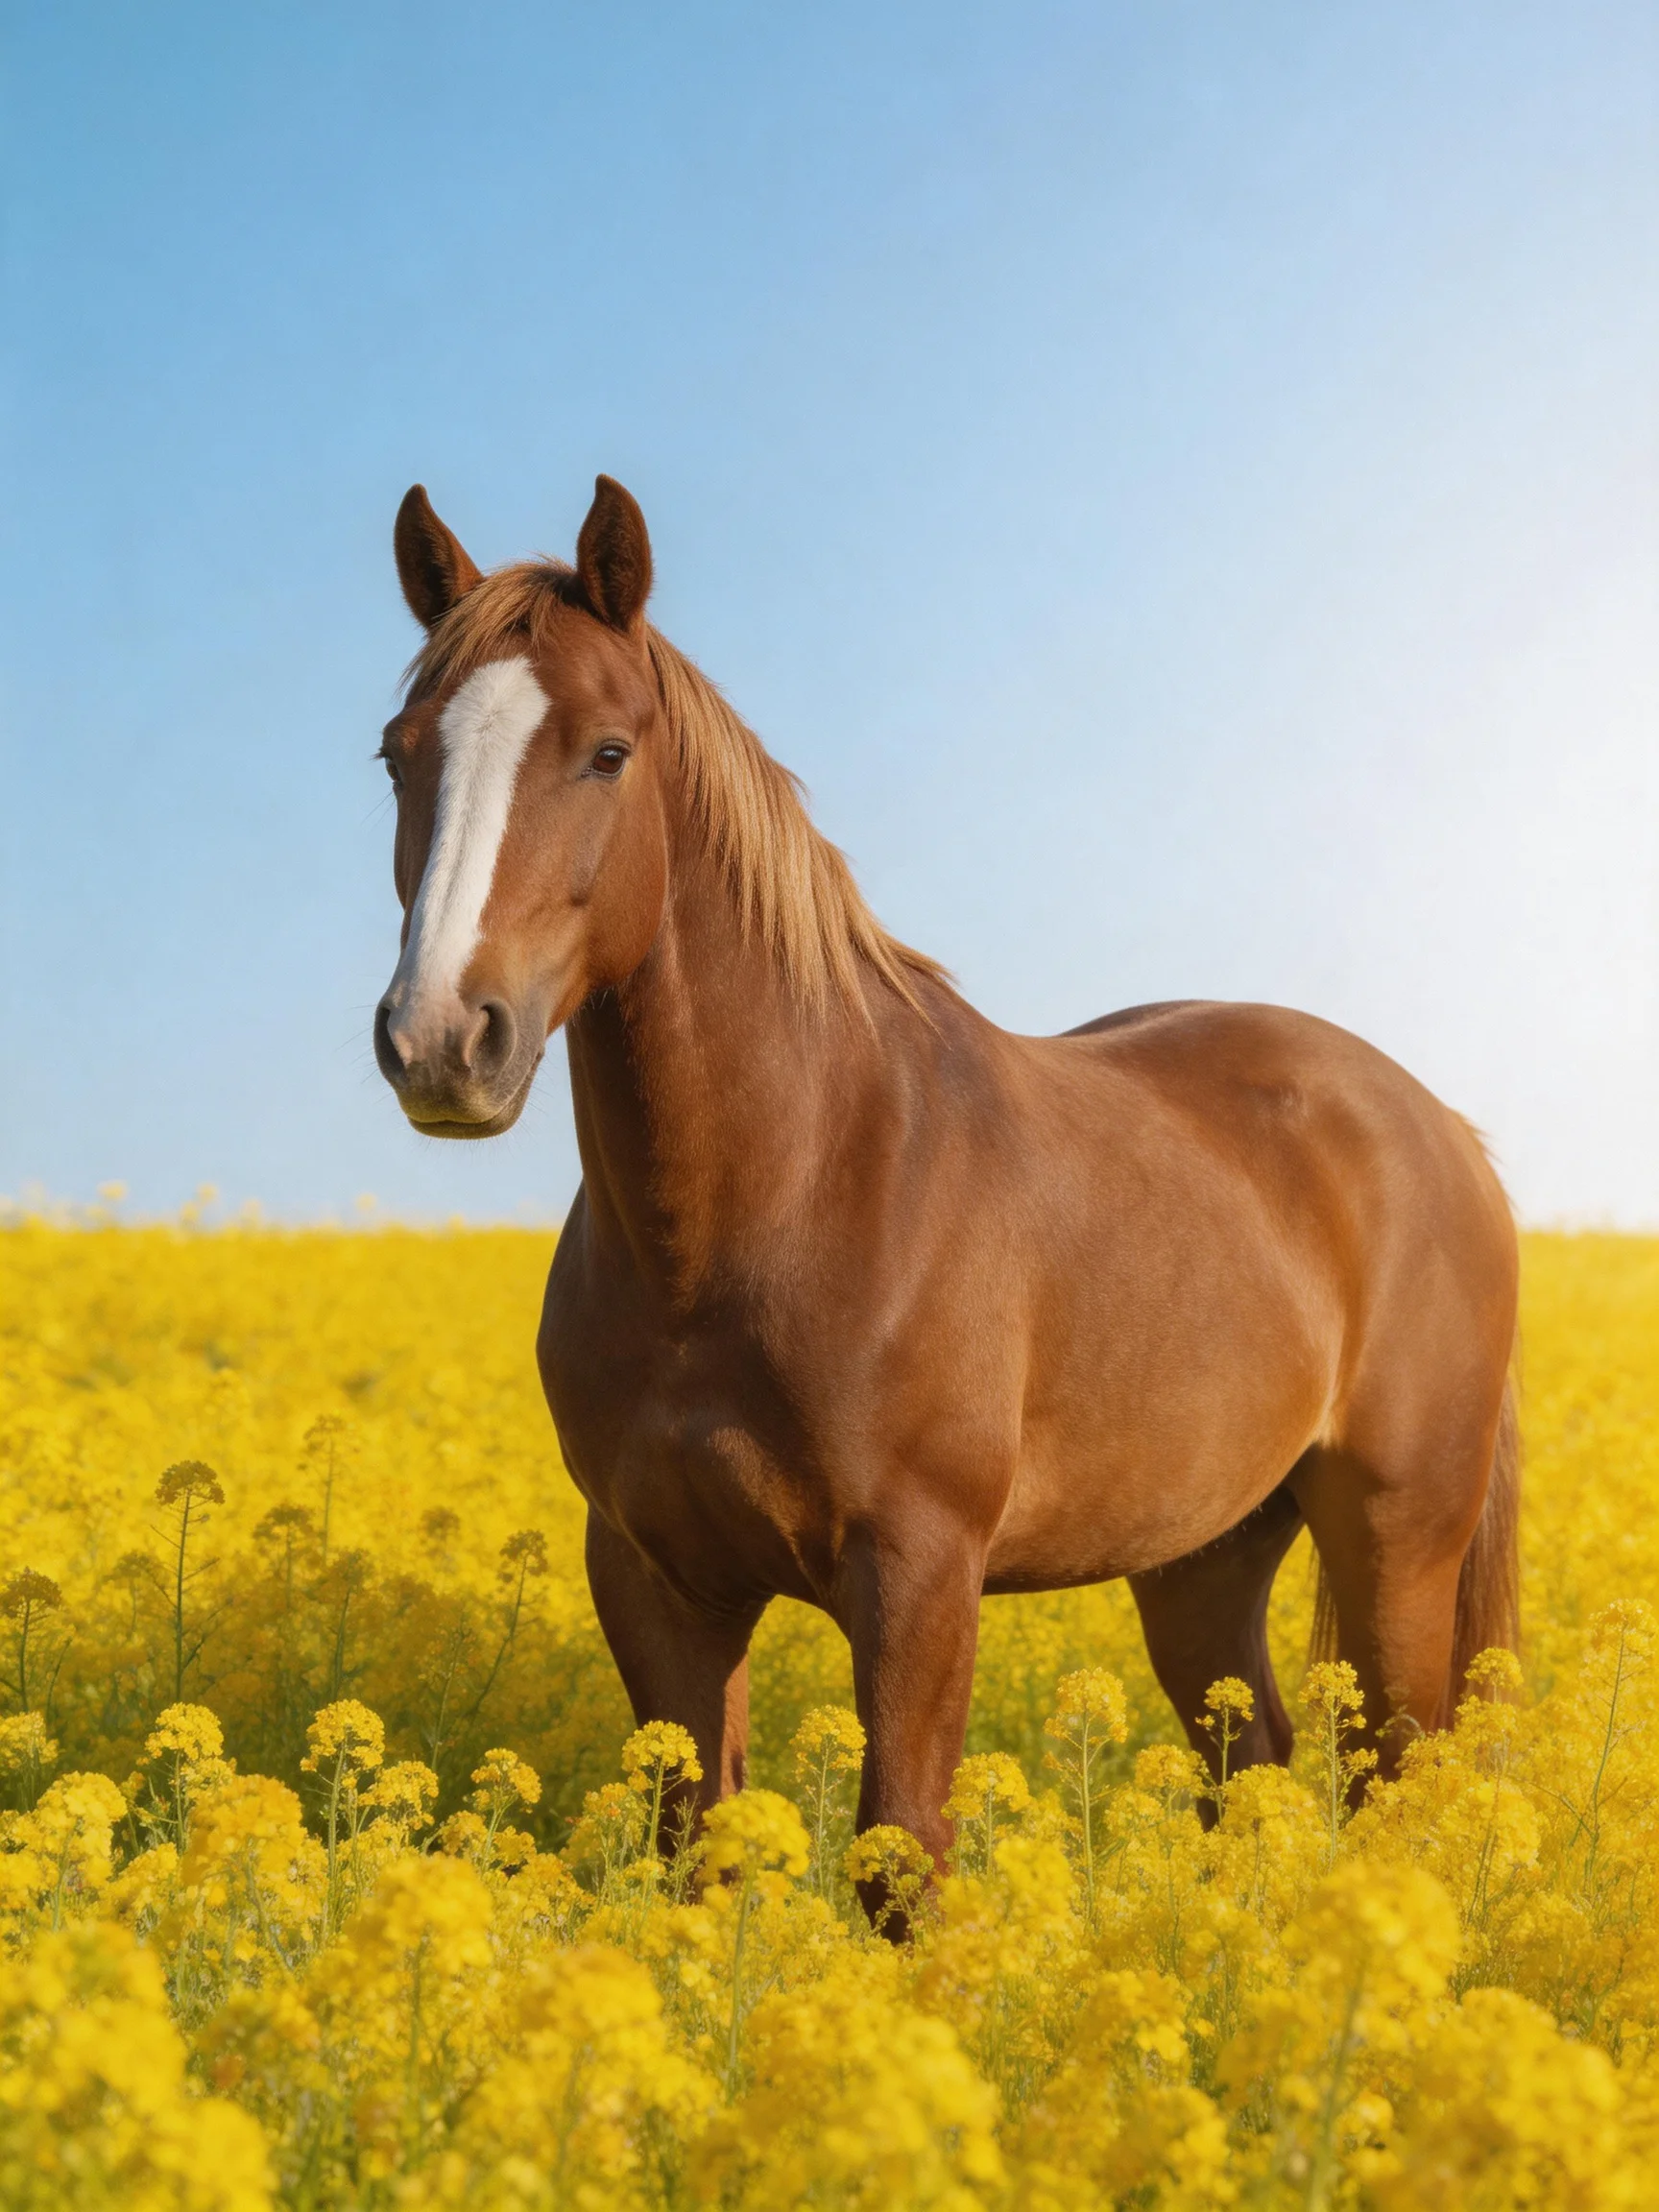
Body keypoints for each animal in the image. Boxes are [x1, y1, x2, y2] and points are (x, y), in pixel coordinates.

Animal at [373, 473, 1520, 1896]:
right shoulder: (655, 1581)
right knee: (1250, 1761)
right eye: (398, 755)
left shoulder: (920, 1576)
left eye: (607, 753)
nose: (439, 1040)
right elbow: (695, 1849)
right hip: (1201, 1557)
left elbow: (899, 1856)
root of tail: (1443, 1131)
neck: (782, 1192)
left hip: (1397, 1544)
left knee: (1396, 1774)